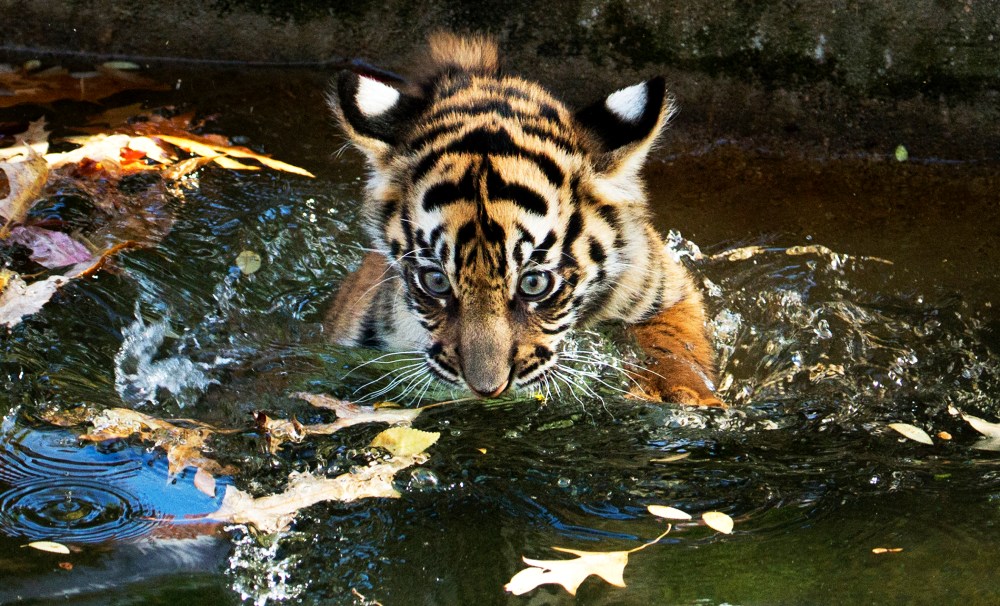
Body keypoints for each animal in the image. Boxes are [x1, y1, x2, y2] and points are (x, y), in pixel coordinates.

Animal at [324, 33, 721, 406]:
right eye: (436, 281)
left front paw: (683, 395)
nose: (487, 389)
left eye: (534, 284)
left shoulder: (664, 288)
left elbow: (673, 343)